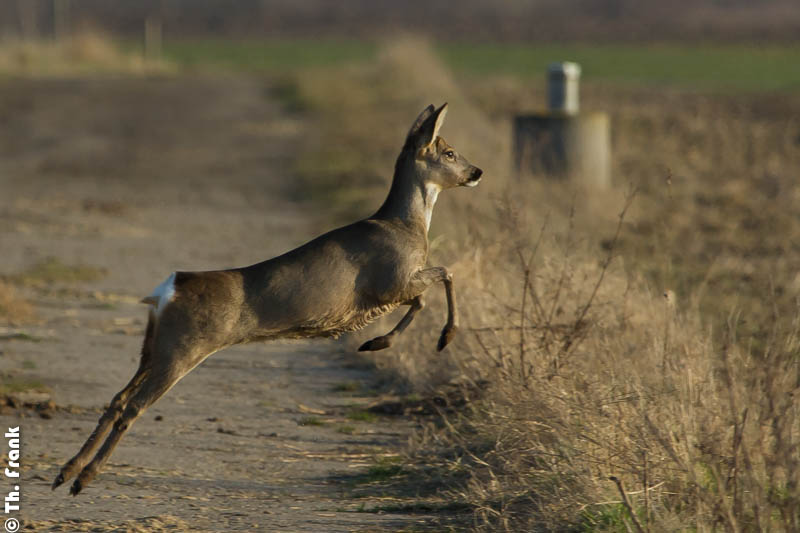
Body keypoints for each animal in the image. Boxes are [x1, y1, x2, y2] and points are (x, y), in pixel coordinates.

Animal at [54, 103, 482, 494]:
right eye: (448, 152)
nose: (476, 172)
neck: (407, 225)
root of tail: (169, 288)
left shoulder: (389, 292)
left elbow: (425, 296)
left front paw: (377, 342)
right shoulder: (391, 280)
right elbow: (446, 273)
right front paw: (443, 337)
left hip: (153, 345)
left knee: (117, 398)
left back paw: (65, 474)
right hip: (183, 347)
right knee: (133, 405)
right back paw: (83, 479)